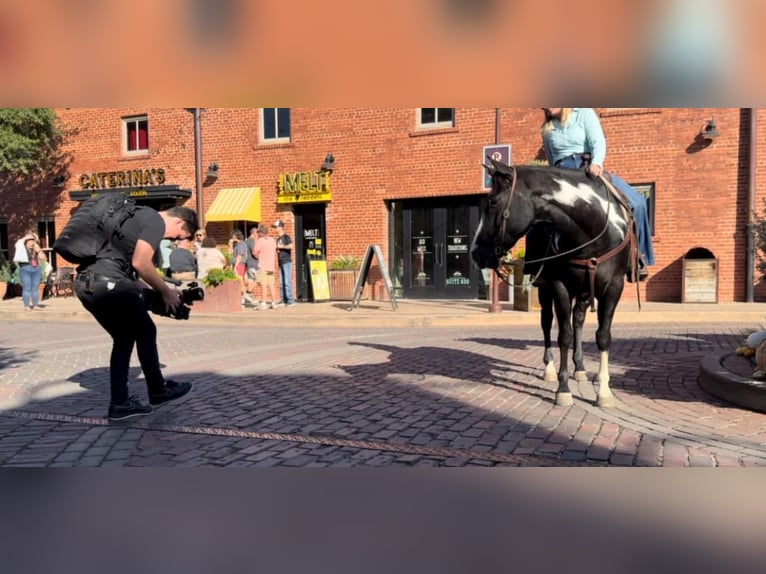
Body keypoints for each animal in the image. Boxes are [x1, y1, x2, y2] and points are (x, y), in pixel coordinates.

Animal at [474, 160, 636, 408]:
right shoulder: (560, 285)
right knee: (547, 322)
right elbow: (564, 335)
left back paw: (580, 367)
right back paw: (550, 368)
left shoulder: (614, 287)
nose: (475, 252)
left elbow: (602, 336)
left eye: (492, 201)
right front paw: (563, 388)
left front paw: (604, 392)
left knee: (578, 320)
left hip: (584, 292)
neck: (594, 232)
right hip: (546, 288)